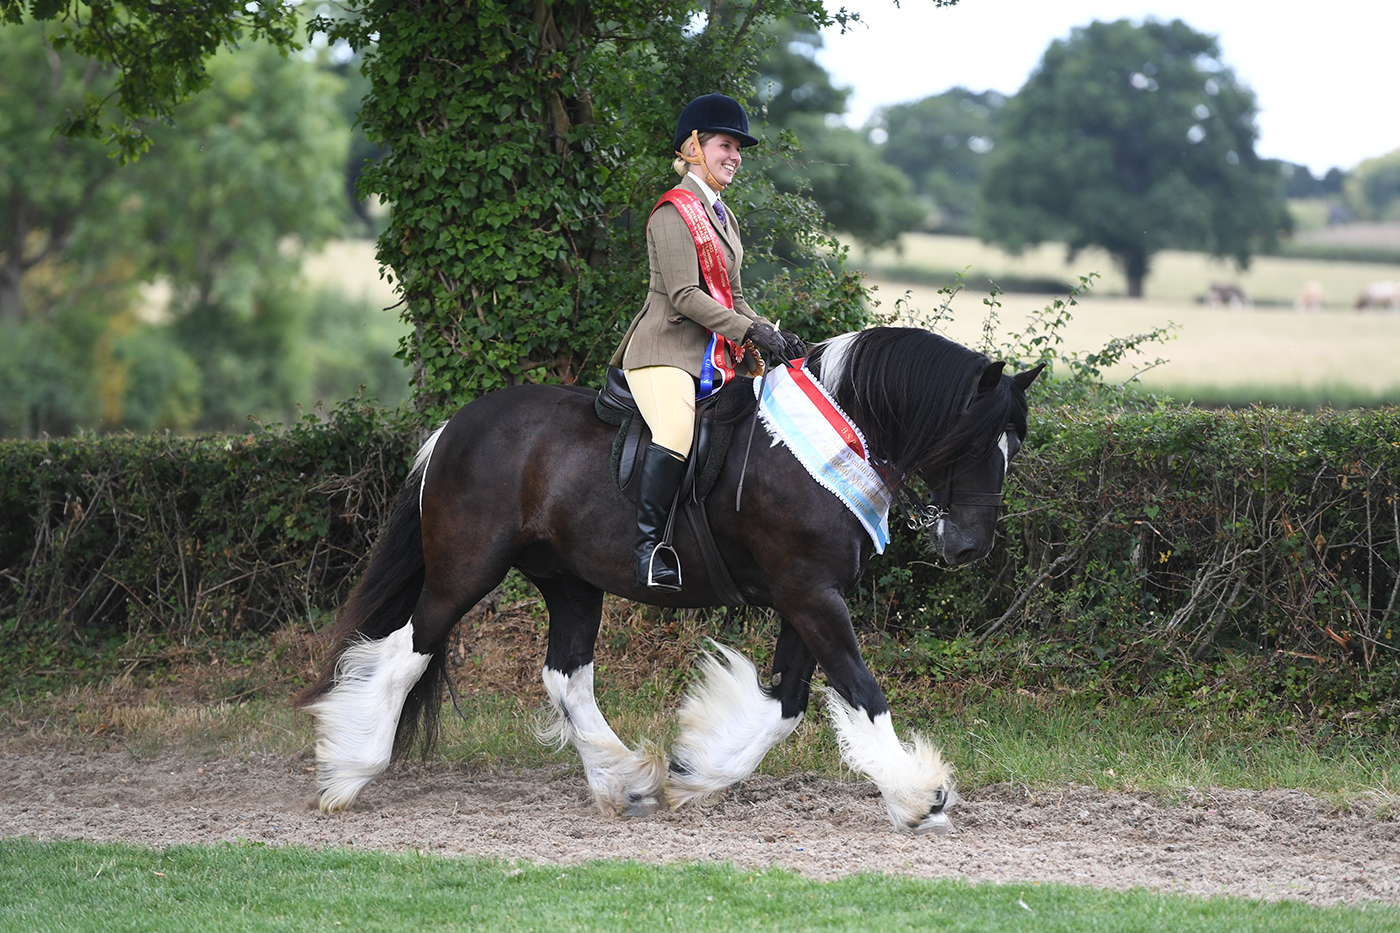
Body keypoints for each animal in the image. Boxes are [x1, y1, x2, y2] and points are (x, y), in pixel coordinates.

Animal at [296, 327, 1043, 835]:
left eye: (1013, 446)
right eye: (972, 442)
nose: (968, 546)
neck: (828, 450)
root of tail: (456, 425)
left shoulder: (806, 598)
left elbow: (785, 703)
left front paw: (692, 774)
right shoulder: (811, 595)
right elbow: (862, 692)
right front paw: (921, 798)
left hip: (570, 582)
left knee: (566, 676)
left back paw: (625, 780)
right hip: (464, 570)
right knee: (405, 653)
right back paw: (348, 772)